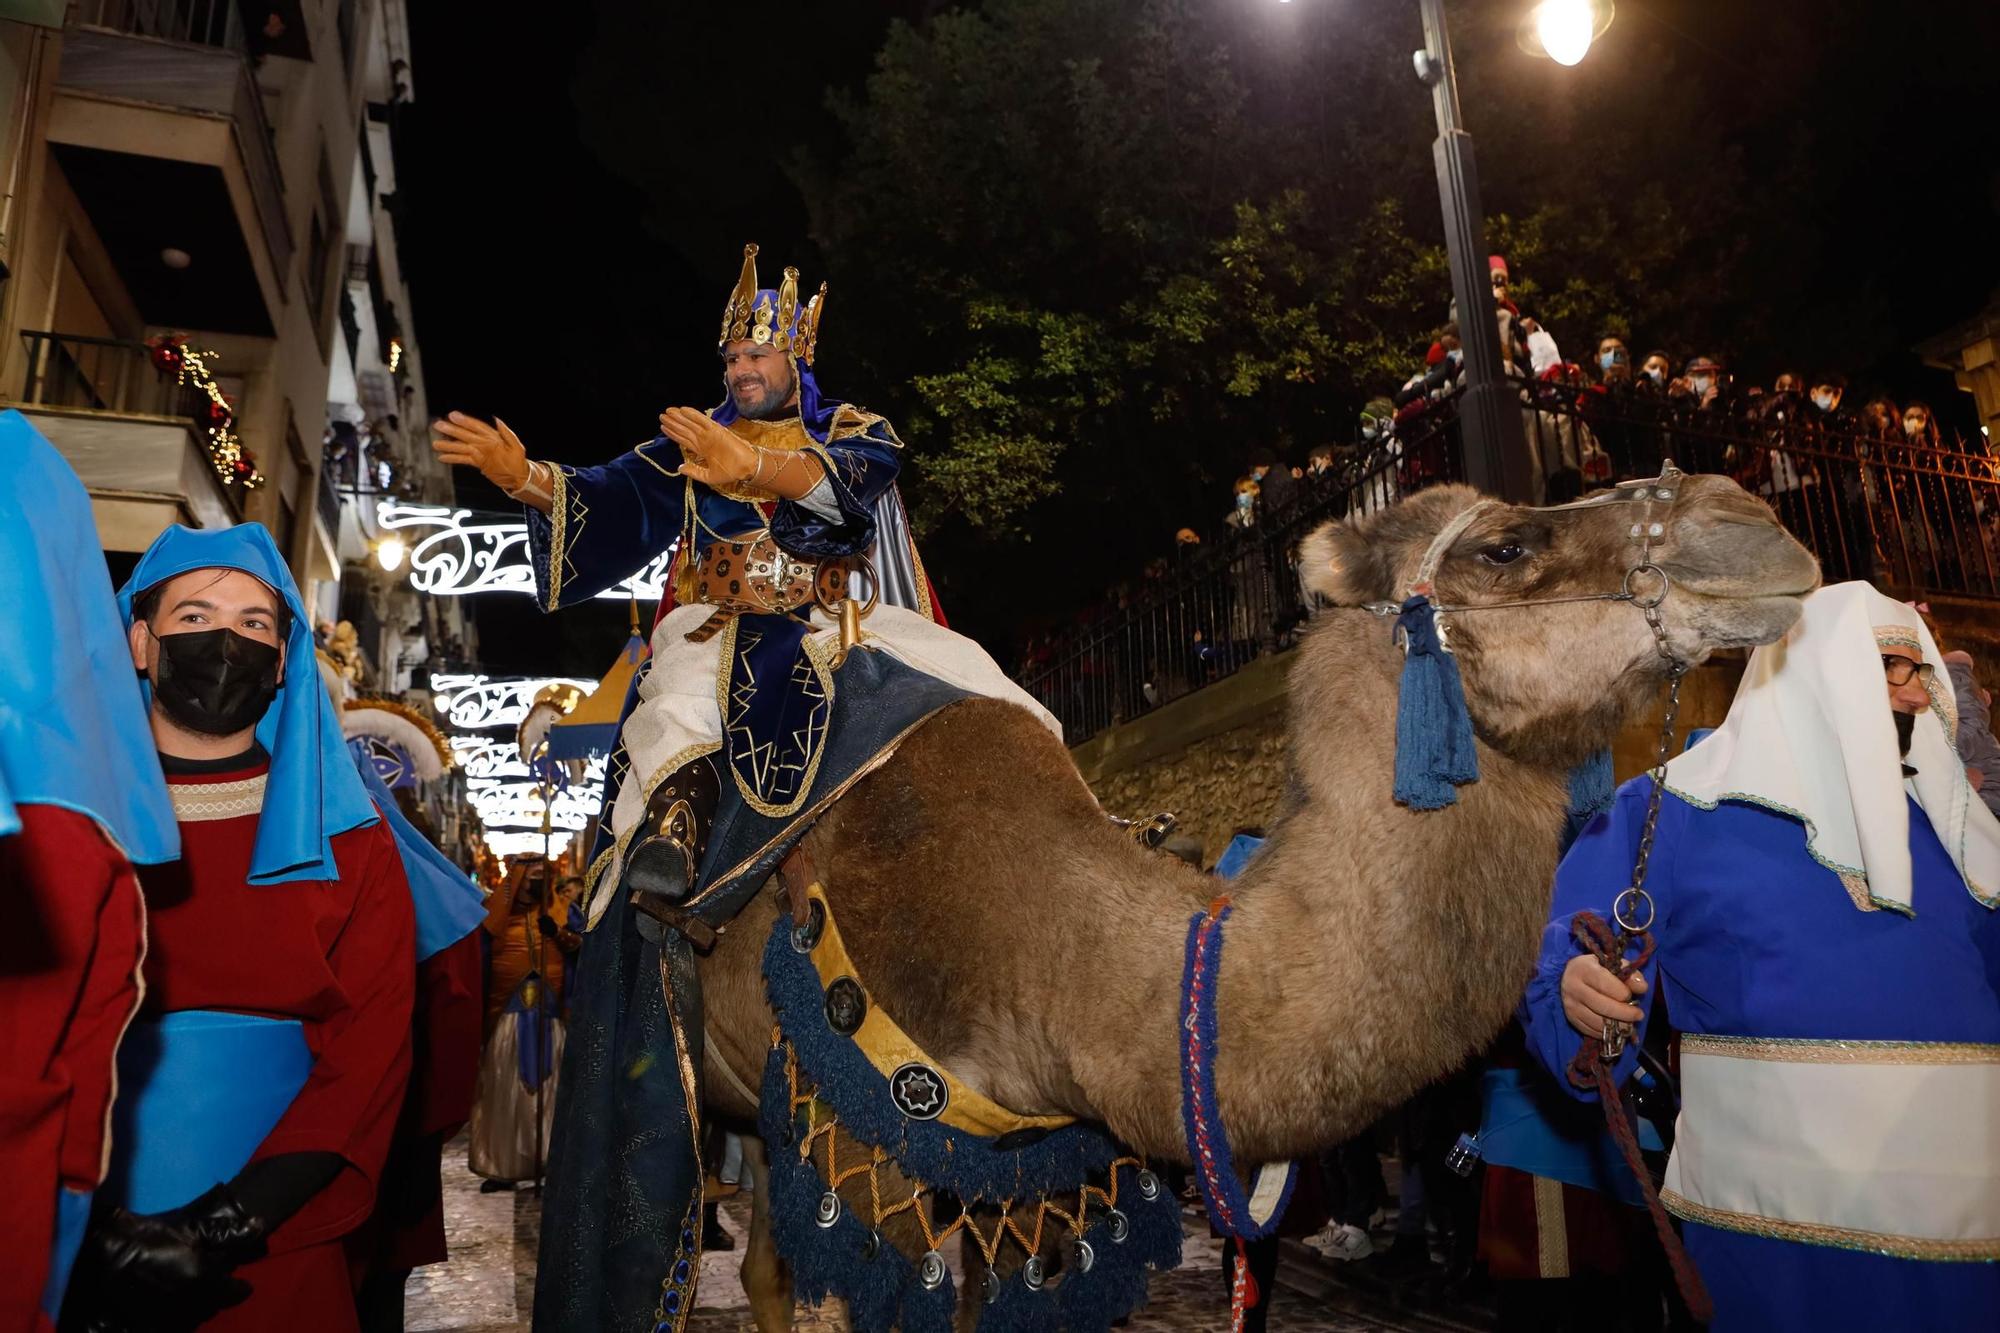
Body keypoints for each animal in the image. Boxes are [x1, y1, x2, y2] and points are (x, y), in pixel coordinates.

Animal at [696, 472, 1824, 1320]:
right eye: (1502, 546)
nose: (1748, 522)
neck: (1042, 953)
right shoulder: (866, 1131)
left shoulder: (1028, 1167)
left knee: (760, 1263)